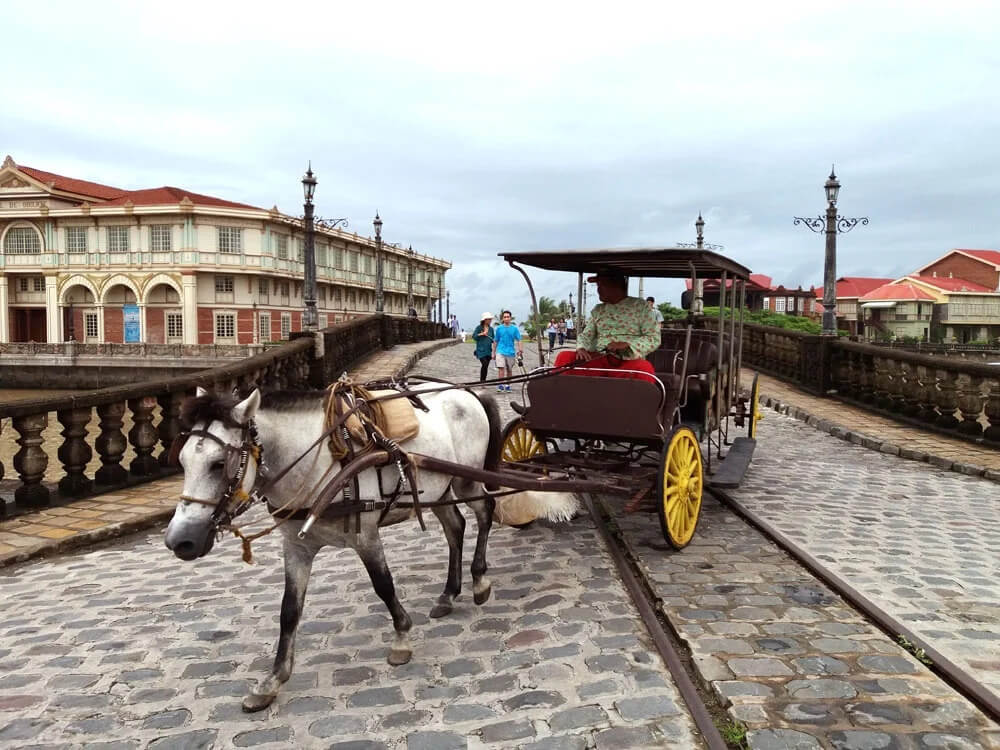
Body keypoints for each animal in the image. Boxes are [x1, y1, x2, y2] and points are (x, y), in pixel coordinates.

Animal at [167, 384, 504, 712]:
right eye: (182, 461)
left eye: (218, 464)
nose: (179, 540)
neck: (317, 462)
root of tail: (466, 392)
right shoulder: (296, 547)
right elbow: (289, 610)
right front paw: (272, 681)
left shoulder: (366, 536)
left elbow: (383, 585)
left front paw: (401, 638)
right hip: (439, 490)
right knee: (455, 527)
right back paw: (448, 594)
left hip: (466, 482)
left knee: (485, 511)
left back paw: (479, 580)